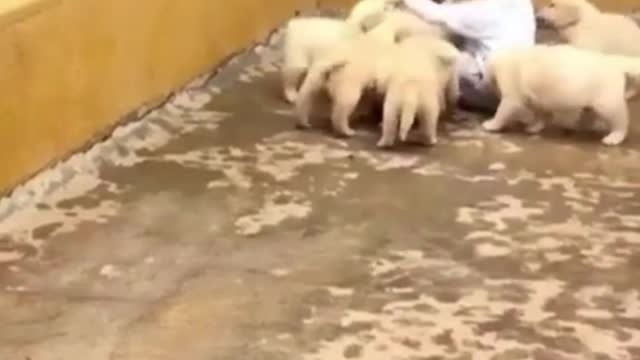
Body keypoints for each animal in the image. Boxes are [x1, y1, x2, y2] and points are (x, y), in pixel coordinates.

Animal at [294, 10, 444, 136]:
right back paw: (347, 130)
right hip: (348, 80)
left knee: (305, 96)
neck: (384, 31)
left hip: (317, 74)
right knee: (342, 107)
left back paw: (304, 122)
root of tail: (333, 61)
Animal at [480, 44, 640, 146]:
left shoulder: (512, 94)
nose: (482, 79)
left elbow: (503, 111)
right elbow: (542, 115)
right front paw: (535, 127)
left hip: (607, 103)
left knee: (621, 120)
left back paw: (614, 137)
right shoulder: (539, 98)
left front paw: (491, 124)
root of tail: (613, 60)